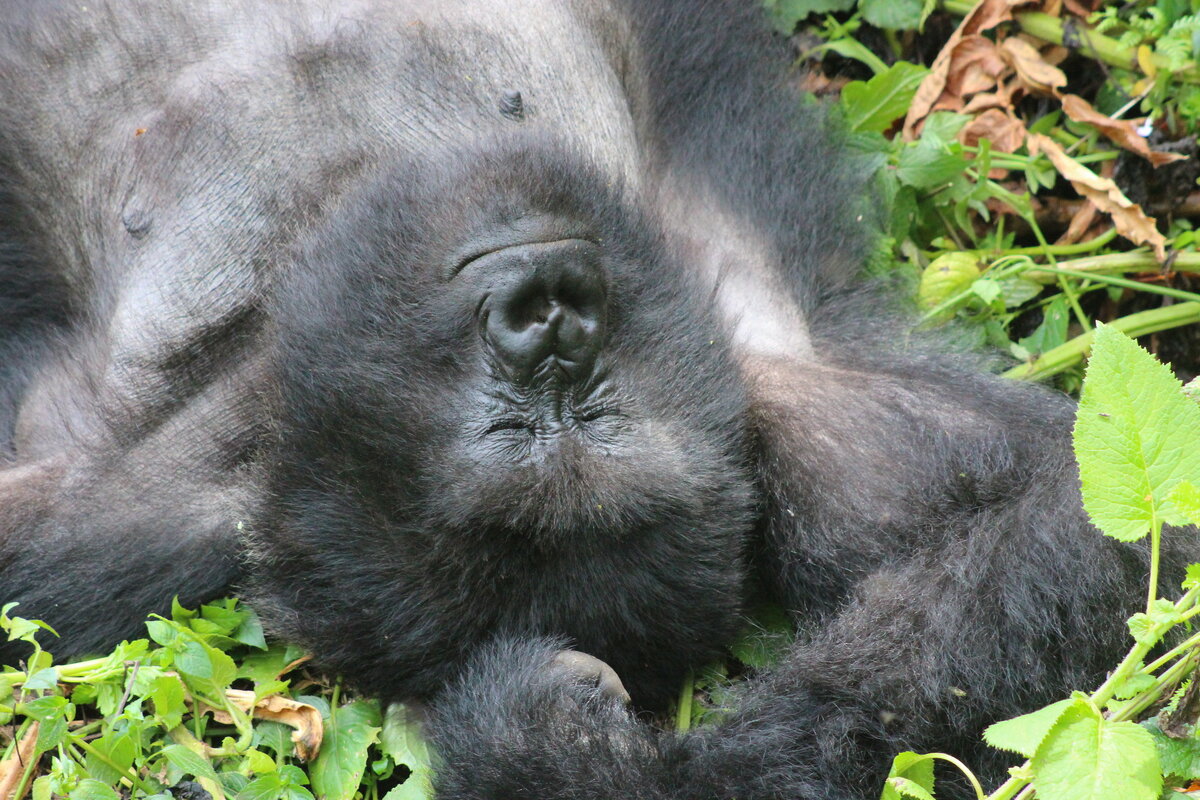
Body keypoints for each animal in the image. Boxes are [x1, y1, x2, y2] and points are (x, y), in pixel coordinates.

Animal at [0, 1, 1180, 800]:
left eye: (594, 411)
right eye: (505, 423)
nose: (552, 328)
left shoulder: (778, 412)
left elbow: (1091, 527)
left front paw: (563, 753)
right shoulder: (114, 527)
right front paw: (559, 746)